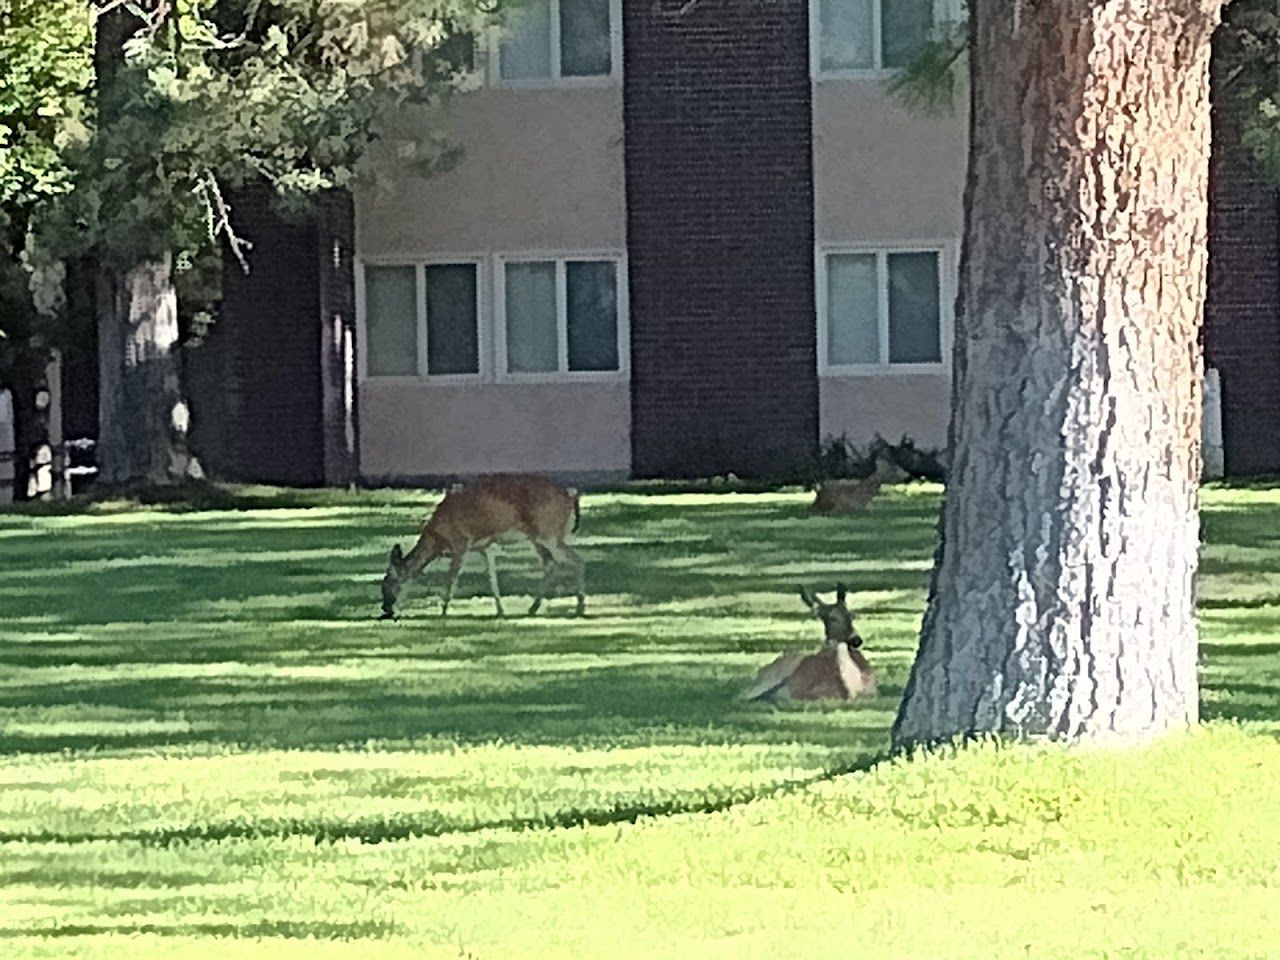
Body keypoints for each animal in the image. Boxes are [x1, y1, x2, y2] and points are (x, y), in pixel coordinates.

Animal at [373, 476, 586, 624]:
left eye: (388, 582)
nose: (385, 608)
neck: (437, 540)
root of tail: (571, 497)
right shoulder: (485, 547)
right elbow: (492, 580)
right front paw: (500, 611)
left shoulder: (461, 543)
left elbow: (451, 581)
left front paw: (443, 612)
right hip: (539, 538)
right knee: (551, 564)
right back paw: (533, 608)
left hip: (548, 533)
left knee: (576, 560)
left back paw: (579, 608)